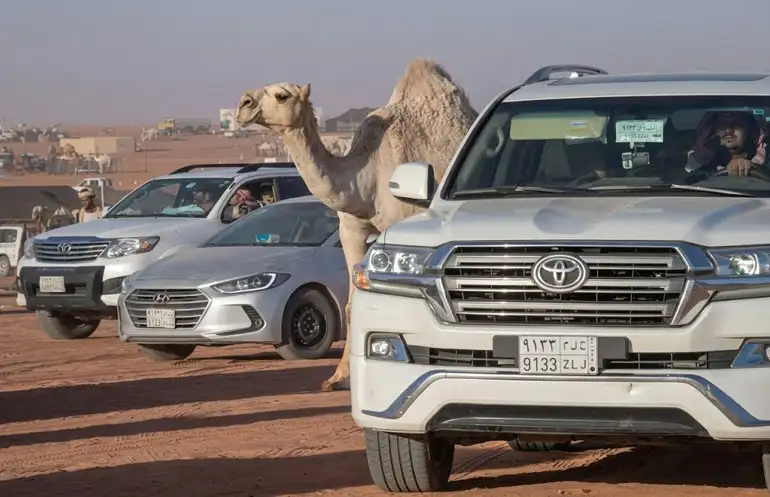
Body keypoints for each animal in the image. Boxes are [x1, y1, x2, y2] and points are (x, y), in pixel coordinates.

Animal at [236, 58, 478, 391]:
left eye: (282, 95)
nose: (243, 104)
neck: (368, 179)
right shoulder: (351, 231)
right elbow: (352, 306)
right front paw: (338, 377)